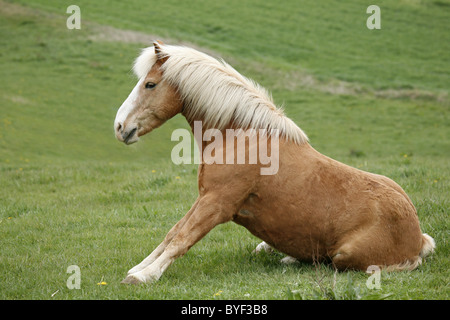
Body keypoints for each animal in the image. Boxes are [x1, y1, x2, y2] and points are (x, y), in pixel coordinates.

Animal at [114, 41, 434, 284]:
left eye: (150, 84)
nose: (120, 127)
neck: (240, 137)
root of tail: (417, 238)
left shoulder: (217, 203)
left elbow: (182, 238)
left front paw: (143, 277)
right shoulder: (204, 197)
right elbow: (172, 233)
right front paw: (139, 267)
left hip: (347, 255)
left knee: (333, 262)